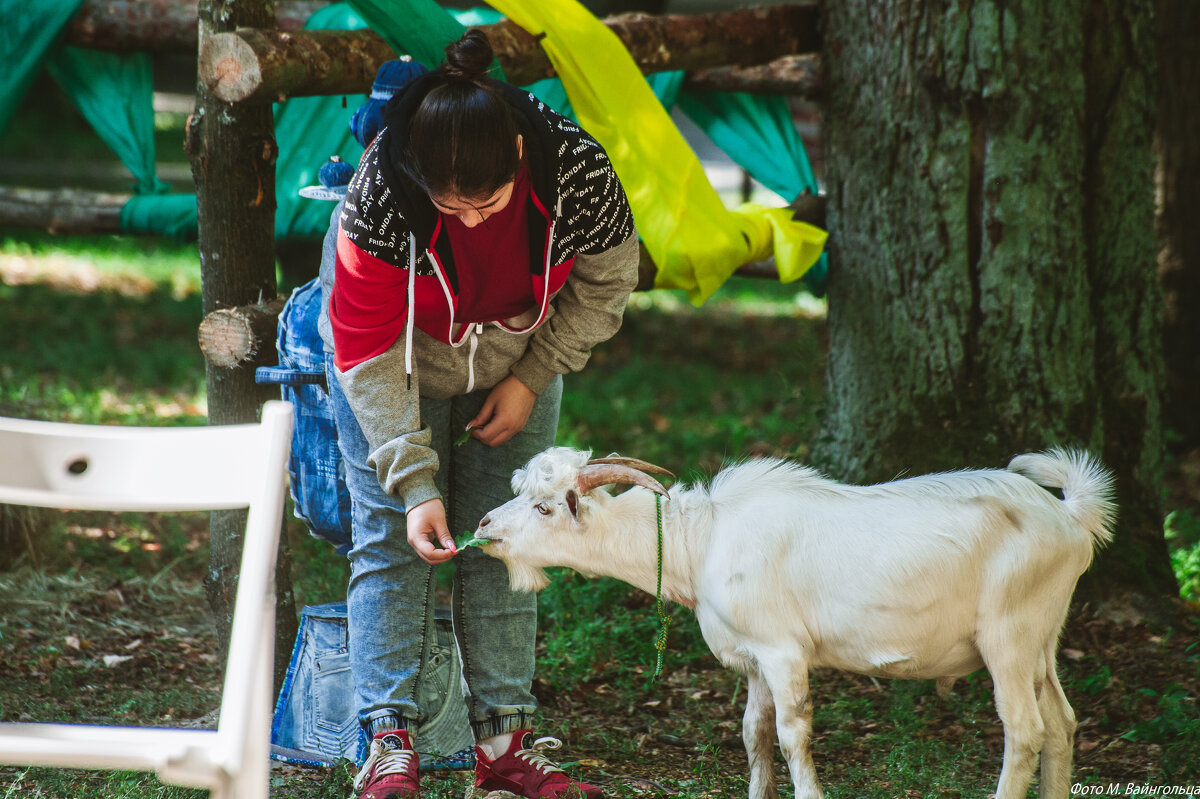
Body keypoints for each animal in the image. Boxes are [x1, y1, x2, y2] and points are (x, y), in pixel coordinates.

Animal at [475, 448, 1113, 796]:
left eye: (544, 507)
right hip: (1041, 640)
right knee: (1062, 722)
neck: (700, 541)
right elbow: (753, 733)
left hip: (1008, 636)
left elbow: (791, 733)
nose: (482, 526)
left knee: (1025, 730)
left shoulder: (783, 651)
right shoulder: (754, 657)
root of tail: (1070, 516)